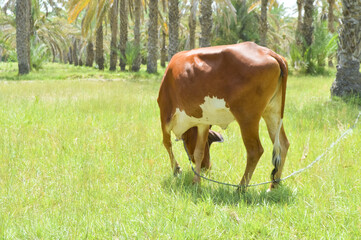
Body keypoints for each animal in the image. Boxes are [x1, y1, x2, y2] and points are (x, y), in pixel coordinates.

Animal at [156, 42, 288, 190]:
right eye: (209, 142)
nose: (207, 167)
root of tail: (268, 52)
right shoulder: (203, 123)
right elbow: (198, 151)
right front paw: (196, 181)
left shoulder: (164, 115)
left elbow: (166, 143)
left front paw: (176, 169)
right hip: (272, 112)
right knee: (283, 144)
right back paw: (273, 185)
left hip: (247, 118)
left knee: (255, 150)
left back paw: (241, 188)